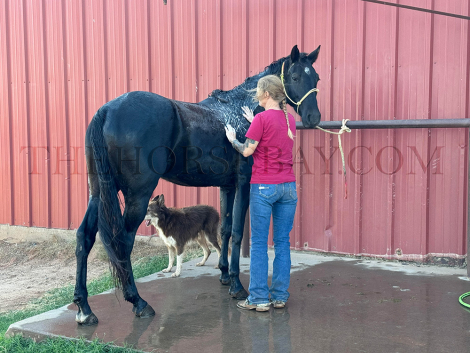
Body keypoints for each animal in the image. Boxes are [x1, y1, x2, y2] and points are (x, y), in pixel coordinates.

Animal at [73, 44, 322, 324]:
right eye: (295, 77)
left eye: (316, 78)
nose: (313, 117)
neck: (240, 111)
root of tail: (106, 111)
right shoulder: (243, 182)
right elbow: (237, 232)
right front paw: (237, 285)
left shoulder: (227, 186)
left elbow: (225, 229)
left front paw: (224, 274)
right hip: (137, 194)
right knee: (124, 241)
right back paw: (138, 302)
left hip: (98, 191)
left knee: (84, 237)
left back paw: (84, 309)